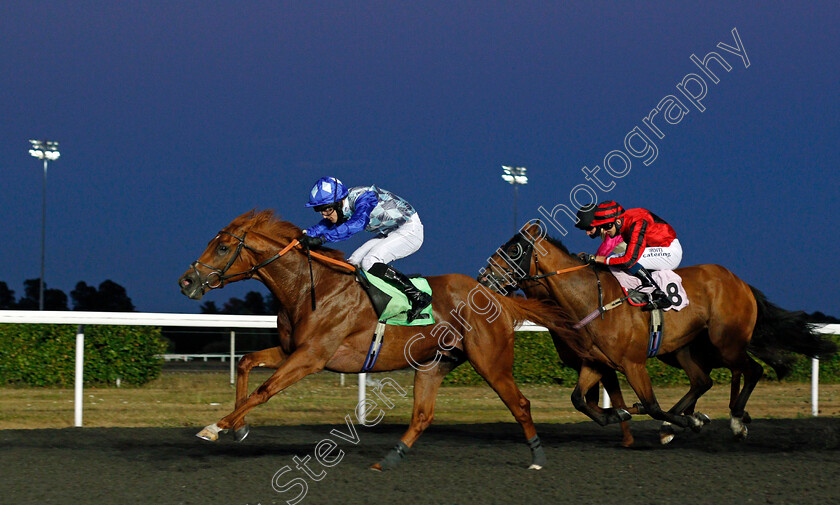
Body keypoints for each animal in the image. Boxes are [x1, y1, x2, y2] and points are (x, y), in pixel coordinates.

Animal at [179, 209, 576, 468]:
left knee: (520, 404)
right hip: (434, 364)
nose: (186, 281)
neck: (309, 287)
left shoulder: (311, 357)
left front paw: (216, 427)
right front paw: (239, 429)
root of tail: (495, 297)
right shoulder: (292, 349)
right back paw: (389, 459)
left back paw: (538, 457)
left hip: (491, 361)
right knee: (422, 415)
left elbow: (264, 390)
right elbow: (246, 362)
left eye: (223, 248)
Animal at [476, 219, 836, 440]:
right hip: (683, 349)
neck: (590, 299)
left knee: (751, 370)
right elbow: (579, 399)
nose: (482, 279)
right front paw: (618, 414)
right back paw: (683, 423)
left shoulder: (633, 363)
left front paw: (687, 420)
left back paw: (734, 419)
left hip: (725, 342)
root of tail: (740, 281)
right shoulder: (596, 362)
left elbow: (649, 404)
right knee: (703, 380)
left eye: (513, 250)